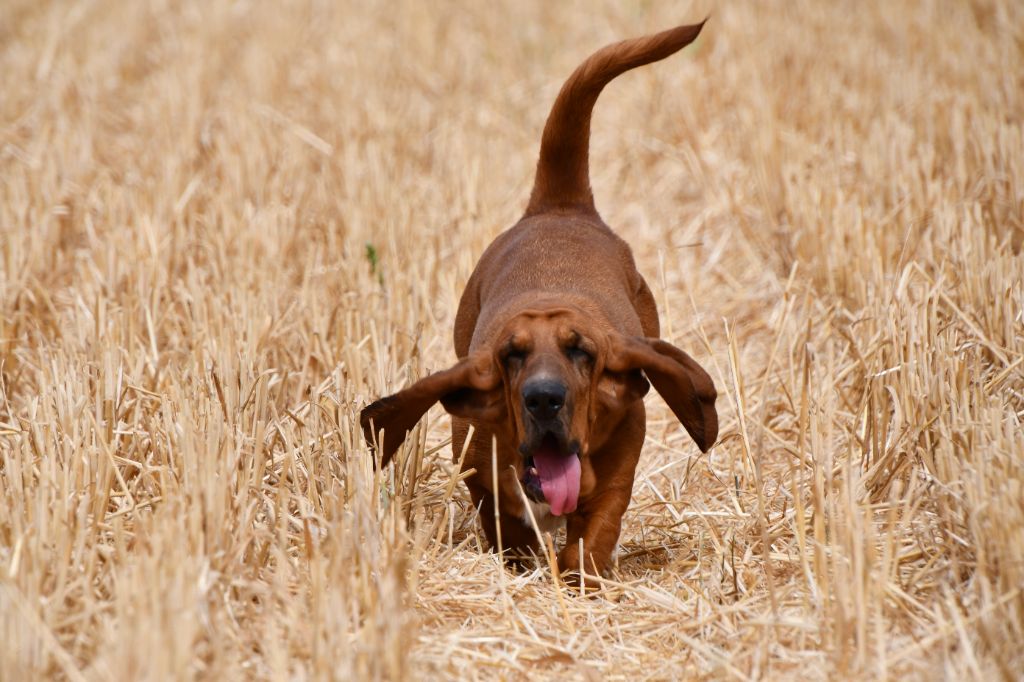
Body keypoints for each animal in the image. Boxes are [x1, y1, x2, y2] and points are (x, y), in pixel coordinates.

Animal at [364, 21, 716, 577]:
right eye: (512, 355)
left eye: (582, 351)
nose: (544, 398)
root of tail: (562, 206)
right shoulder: (483, 476)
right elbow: (508, 528)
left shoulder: (615, 477)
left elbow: (593, 537)